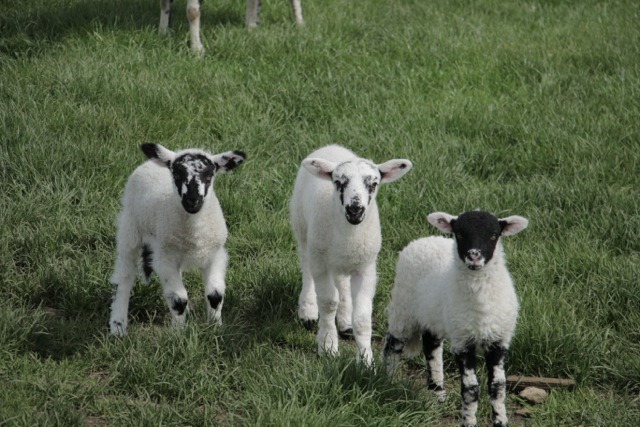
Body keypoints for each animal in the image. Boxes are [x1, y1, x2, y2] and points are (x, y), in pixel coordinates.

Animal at [109, 143, 246, 335]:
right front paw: (179, 332)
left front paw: (215, 328)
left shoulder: (216, 254)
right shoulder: (165, 258)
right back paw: (118, 325)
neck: (194, 234)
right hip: (130, 229)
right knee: (124, 277)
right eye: (177, 175)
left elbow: (215, 294)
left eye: (209, 175)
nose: (192, 201)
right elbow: (178, 298)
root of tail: (149, 163)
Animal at [159, 0, 304, 55]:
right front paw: (163, 33)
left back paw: (300, 25)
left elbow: (192, 11)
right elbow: (164, 3)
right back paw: (251, 26)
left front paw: (197, 50)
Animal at [290, 144, 413, 367]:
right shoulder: (321, 263)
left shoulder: (365, 268)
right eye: (338, 182)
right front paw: (328, 346)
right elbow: (328, 303)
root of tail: (331, 146)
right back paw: (308, 310)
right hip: (303, 231)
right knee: (307, 269)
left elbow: (363, 318)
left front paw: (366, 360)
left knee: (342, 284)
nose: (355, 209)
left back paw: (345, 321)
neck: (349, 234)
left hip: (343, 260)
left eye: (373, 183)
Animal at [383, 210, 528, 427]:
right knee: (392, 345)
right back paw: (388, 381)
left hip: (433, 316)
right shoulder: (463, 341)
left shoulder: (499, 340)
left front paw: (500, 421)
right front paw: (468, 422)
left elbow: (498, 386)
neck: (480, 302)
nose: (474, 256)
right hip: (403, 308)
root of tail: (424, 239)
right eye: (459, 233)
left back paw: (437, 391)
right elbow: (470, 388)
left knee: (431, 347)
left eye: (494, 235)